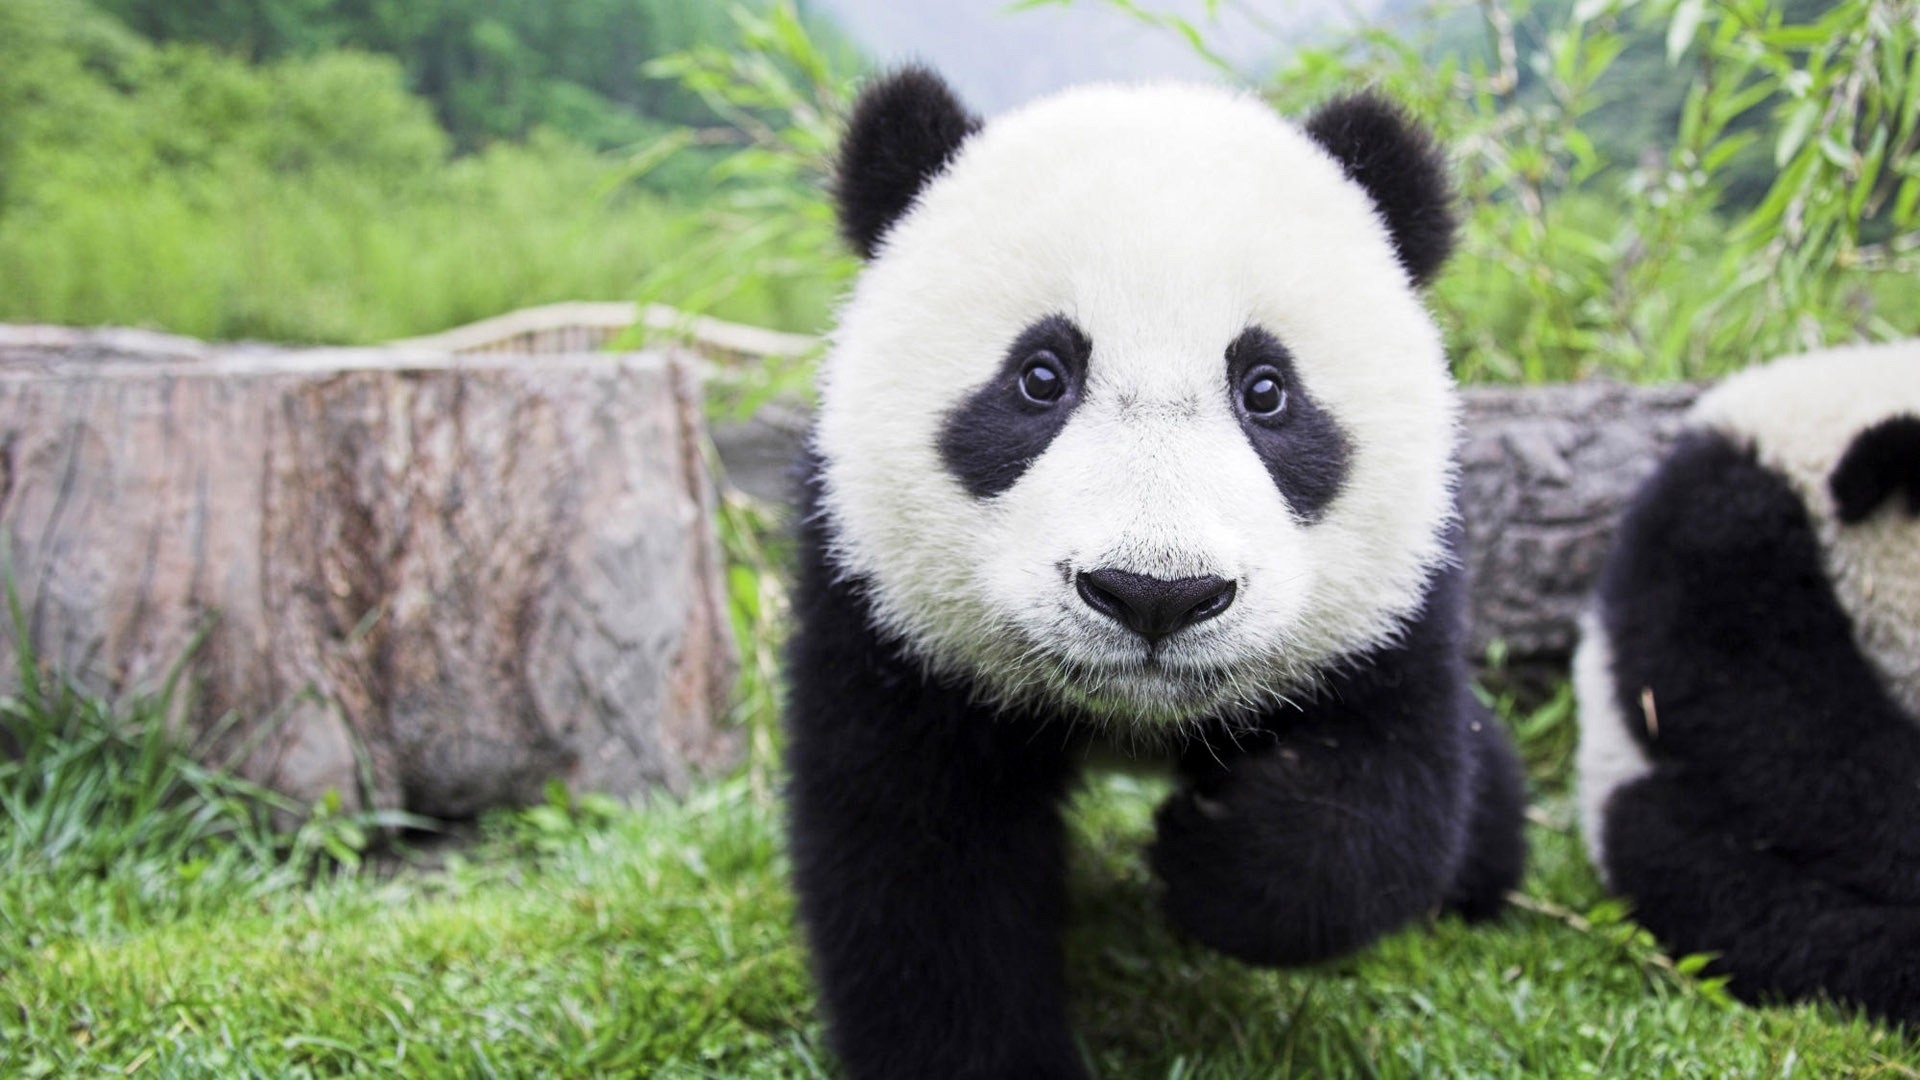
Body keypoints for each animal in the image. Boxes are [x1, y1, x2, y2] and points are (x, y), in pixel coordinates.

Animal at [787, 67, 1528, 1079]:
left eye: (1267, 390)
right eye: (1040, 377)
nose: (1155, 595)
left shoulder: (1399, 598)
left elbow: (1387, 791)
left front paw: (1213, 854)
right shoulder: (878, 606)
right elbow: (920, 870)